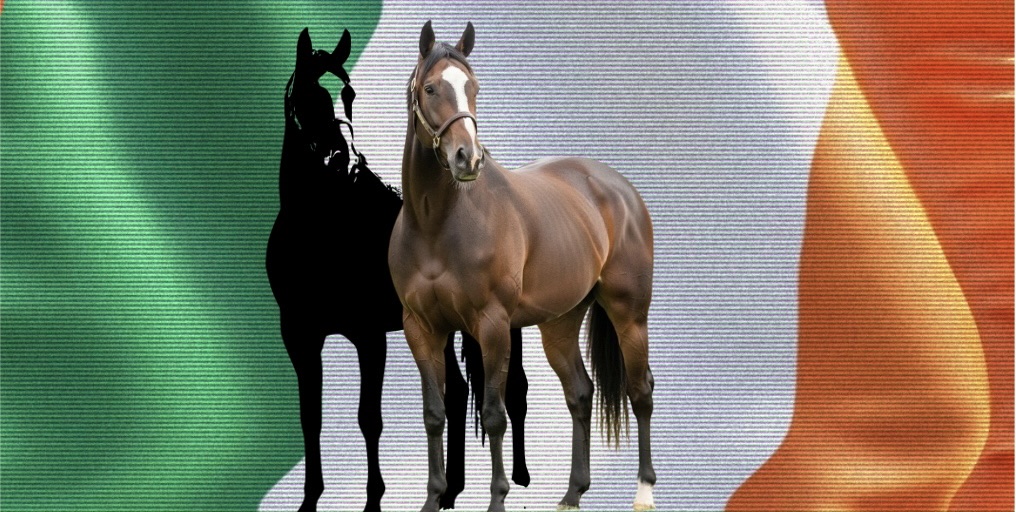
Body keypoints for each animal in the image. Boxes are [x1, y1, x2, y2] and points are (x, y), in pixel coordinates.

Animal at [265, 27, 530, 512]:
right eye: (310, 94)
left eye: (349, 95)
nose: (345, 160)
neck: (320, 226)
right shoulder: (299, 333)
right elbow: (310, 416)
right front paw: (310, 500)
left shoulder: (368, 334)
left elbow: (369, 417)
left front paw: (373, 501)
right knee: (457, 391)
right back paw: (452, 489)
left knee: (513, 390)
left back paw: (519, 477)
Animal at [389, 22, 657, 512]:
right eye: (431, 88)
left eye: (473, 87)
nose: (468, 158)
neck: (437, 227)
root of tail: (619, 188)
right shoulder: (420, 327)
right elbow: (434, 413)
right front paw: (433, 499)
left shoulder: (493, 325)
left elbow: (495, 415)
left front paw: (497, 500)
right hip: (560, 323)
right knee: (580, 393)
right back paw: (572, 493)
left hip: (629, 314)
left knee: (640, 389)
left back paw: (644, 491)